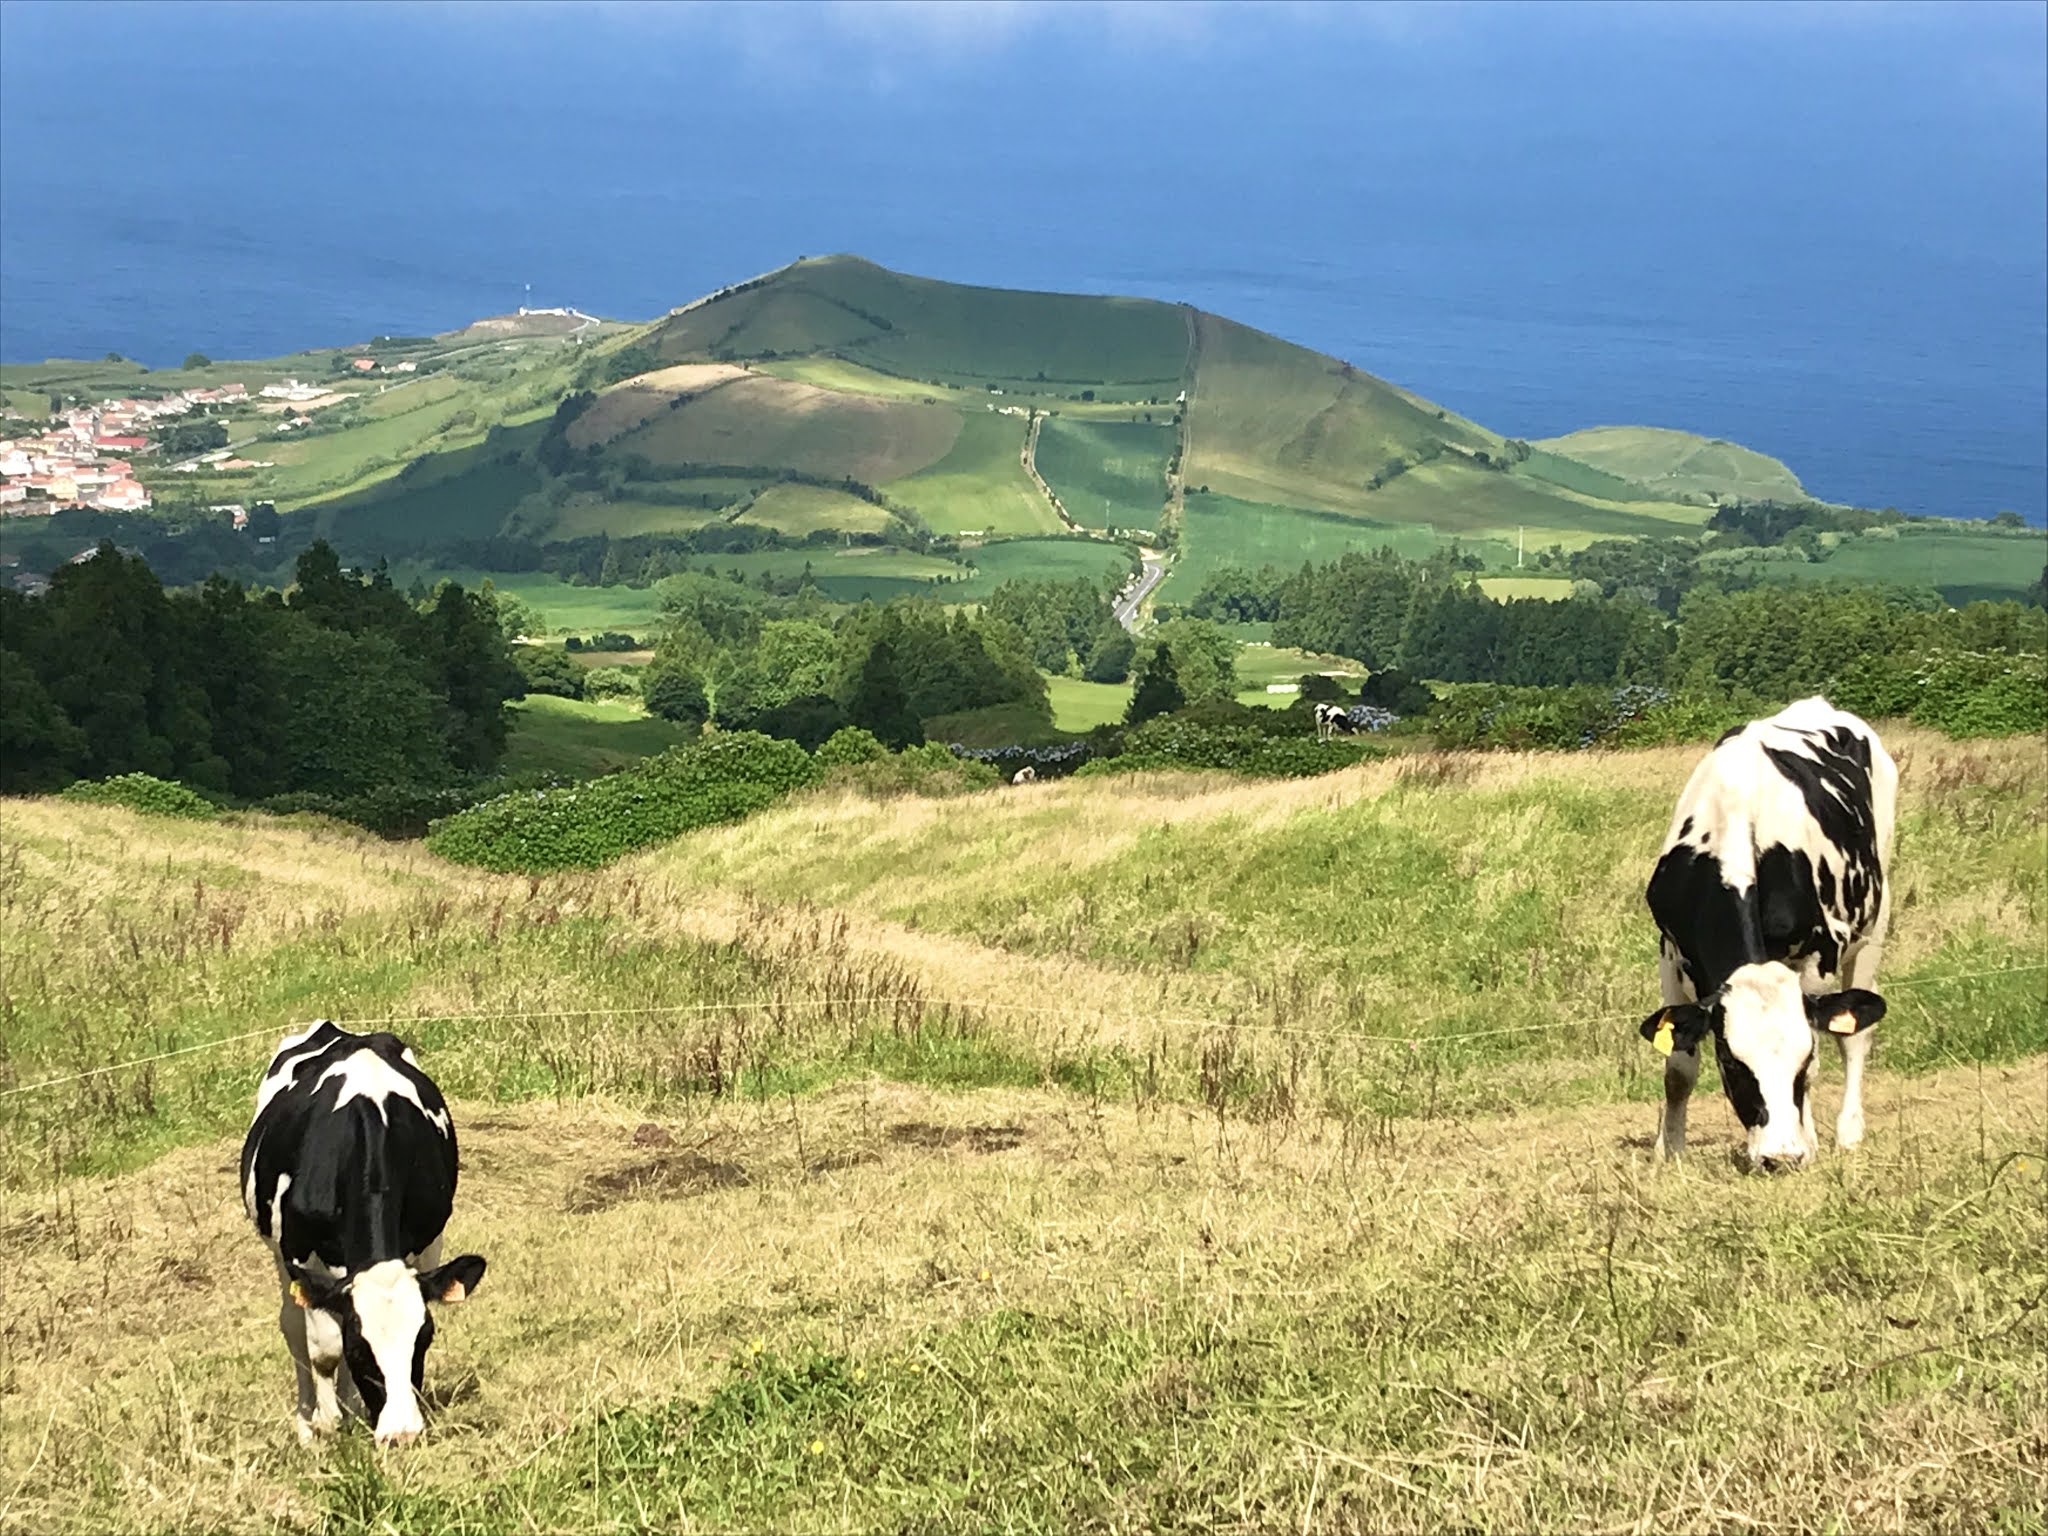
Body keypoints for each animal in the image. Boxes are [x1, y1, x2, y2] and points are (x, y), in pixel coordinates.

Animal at [238, 1028, 483, 1449]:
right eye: (360, 1348)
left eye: (424, 1338)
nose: (402, 1434)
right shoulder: (303, 1258)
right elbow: (324, 1349)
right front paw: (325, 1423)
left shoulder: (428, 1246)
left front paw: (355, 1410)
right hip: (282, 1258)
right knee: (293, 1327)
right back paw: (308, 1421)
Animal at [1638, 704, 1892, 1171]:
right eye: (1731, 1062)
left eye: (1802, 1059)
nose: (1781, 1157)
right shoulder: (1670, 950)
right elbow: (1678, 1068)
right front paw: (1671, 1151)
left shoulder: (1819, 956)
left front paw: (1808, 1140)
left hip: (1873, 925)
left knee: (1855, 1036)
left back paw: (1848, 1132)